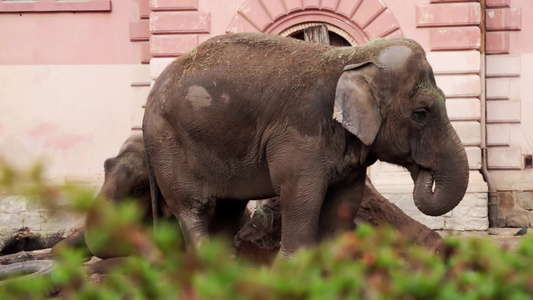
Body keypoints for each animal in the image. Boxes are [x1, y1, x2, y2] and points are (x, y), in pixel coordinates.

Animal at [143, 32, 468, 258]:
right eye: (421, 113)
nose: (423, 170)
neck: (351, 57)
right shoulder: (300, 135)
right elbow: (301, 196)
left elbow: (344, 202)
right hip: (170, 146)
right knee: (193, 208)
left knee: (228, 208)